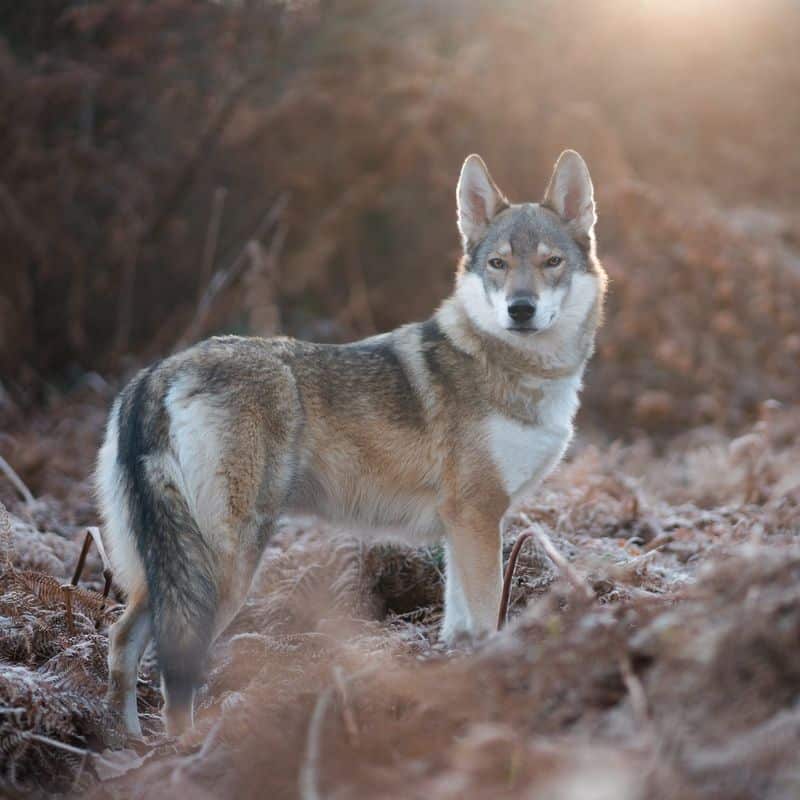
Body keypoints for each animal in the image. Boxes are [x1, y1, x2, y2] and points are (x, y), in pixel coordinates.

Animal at [97, 150, 608, 736]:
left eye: (552, 262)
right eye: (498, 264)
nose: (520, 309)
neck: (517, 370)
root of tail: (157, 373)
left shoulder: (461, 528)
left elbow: (459, 628)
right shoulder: (478, 517)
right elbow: (486, 621)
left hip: (164, 568)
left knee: (122, 642)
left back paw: (130, 747)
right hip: (224, 569)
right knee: (171, 666)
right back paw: (183, 748)